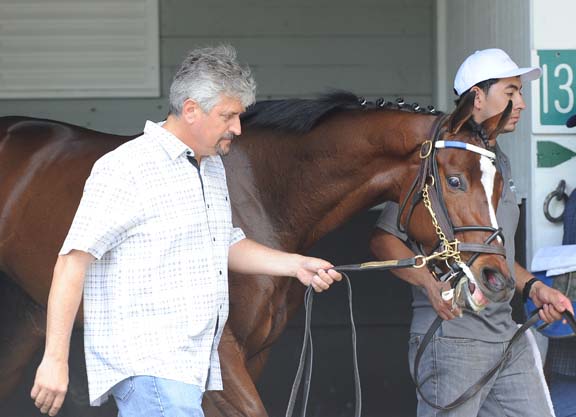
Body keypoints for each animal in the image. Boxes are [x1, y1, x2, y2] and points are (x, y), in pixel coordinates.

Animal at [0, 92, 512, 416]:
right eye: (454, 180)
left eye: (500, 185)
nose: (497, 279)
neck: (263, 195)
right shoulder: (219, 355)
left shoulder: (255, 353)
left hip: (31, 319)